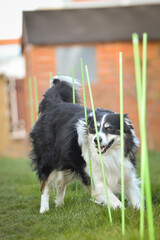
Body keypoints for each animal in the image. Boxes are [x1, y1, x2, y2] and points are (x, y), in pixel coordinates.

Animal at [29, 76, 140, 213]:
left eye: (109, 128)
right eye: (93, 129)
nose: (96, 140)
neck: (110, 154)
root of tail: (53, 104)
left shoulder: (126, 172)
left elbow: (135, 198)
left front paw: (139, 212)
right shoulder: (96, 180)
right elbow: (116, 202)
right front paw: (122, 211)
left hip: (69, 162)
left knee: (60, 184)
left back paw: (60, 205)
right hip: (48, 159)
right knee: (45, 185)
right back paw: (44, 209)